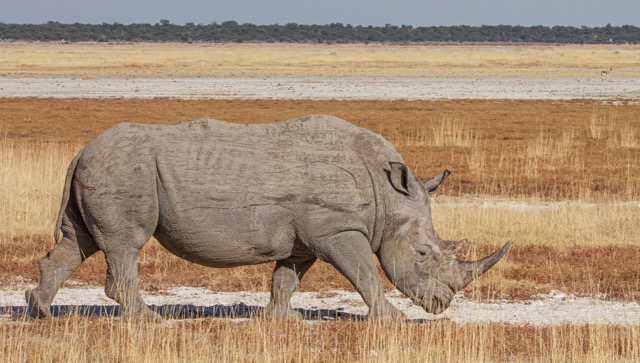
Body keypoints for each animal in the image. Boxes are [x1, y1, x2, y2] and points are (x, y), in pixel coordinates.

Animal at [26, 115, 510, 320]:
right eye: (424, 254)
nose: (441, 304)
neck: (387, 196)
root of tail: (81, 151)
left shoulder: (308, 237)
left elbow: (287, 278)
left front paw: (280, 321)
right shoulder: (339, 229)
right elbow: (366, 275)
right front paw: (393, 321)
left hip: (106, 168)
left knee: (79, 242)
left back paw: (41, 313)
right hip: (124, 169)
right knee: (125, 245)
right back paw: (149, 322)